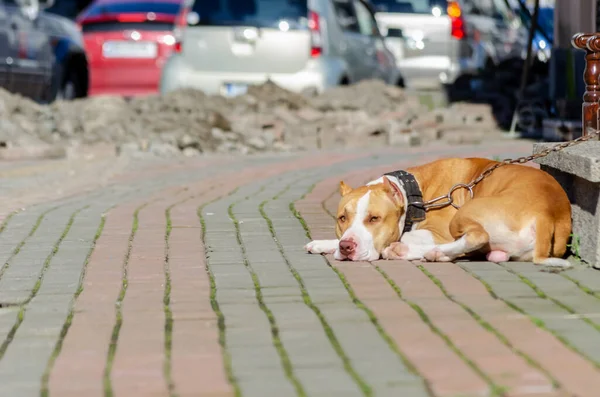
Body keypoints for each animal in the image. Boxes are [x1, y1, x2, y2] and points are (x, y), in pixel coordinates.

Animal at [304, 158, 572, 266]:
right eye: (342, 218)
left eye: (374, 218)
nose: (347, 247)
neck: (414, 194)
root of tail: (548, 213)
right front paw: (324, 243)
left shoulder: (440, 230)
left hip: (465, 213)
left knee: (476, 237)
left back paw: (419, 251)